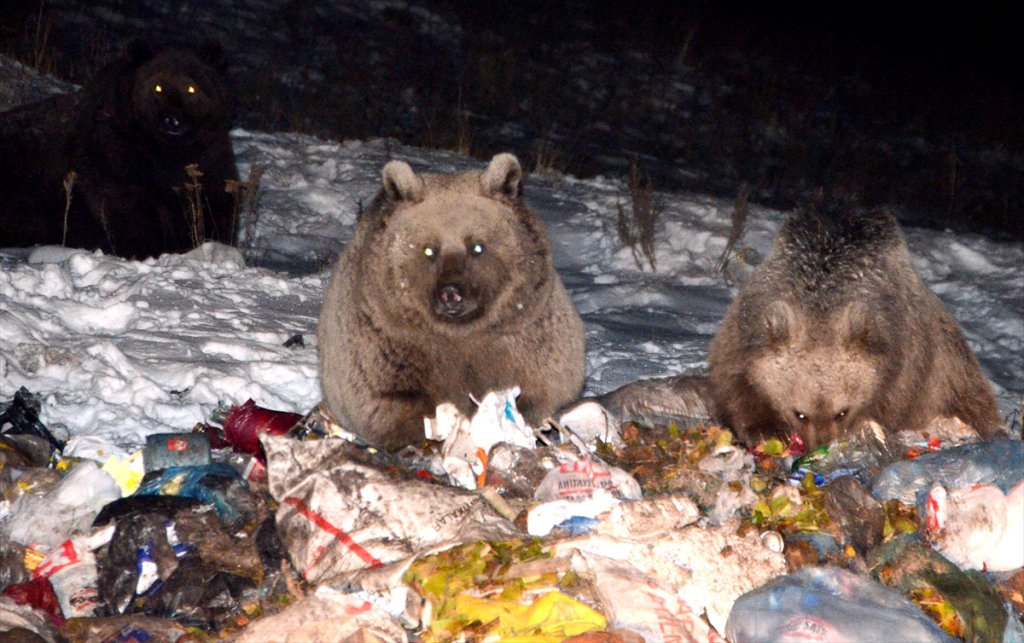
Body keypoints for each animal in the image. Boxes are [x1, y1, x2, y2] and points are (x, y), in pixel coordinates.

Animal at [0, 40, 237, 259]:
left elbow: (212, 205)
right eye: (157, 87)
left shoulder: (209, 160)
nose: (173, 120)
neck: (165, 154)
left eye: (192, 88)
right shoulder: (113, 162)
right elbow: (126, 212)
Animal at [315, 153, 589, 450]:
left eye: (477, 247)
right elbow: (388, 400)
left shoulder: (524, 338)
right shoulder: (387, 344)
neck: (460, 336)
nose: (451, 294)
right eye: (428, 250)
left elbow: (541, 386)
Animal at [708, 204, 1003, 446]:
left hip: (953, 369)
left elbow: (891, 402)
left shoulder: (906, 357)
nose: (822, 445)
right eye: (800, 414)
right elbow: (736, 386)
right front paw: (764, 428)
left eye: (842, 412)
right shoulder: (743, 333)